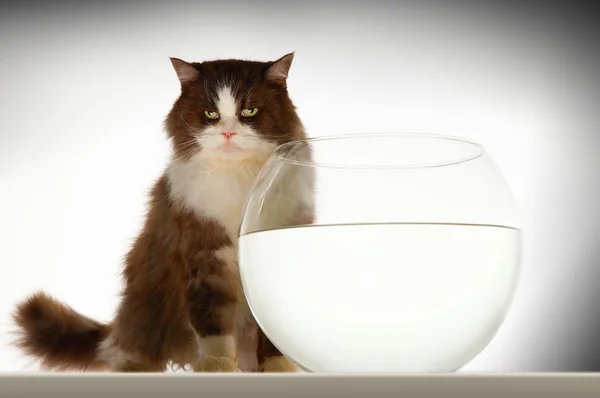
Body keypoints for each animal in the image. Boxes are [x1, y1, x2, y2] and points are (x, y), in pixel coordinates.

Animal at [10, 52, 310, 374]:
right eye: (210, 114)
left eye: (249, 111)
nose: (228, 132)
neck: (237, 180)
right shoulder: (203, 253)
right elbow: (212, 320)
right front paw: (216, 363)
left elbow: (272, 329)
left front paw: (278, 366)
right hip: (148, 295)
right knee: (127, 345)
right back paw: (135, 364)